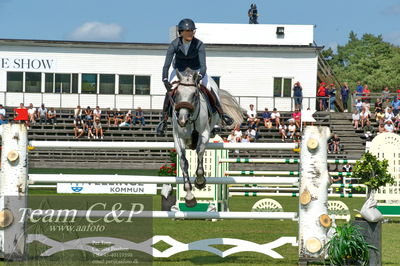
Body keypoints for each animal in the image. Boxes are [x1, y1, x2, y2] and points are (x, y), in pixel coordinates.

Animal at [171, 67, 242, 207]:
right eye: (177, 94)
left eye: (194, 94)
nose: (182, 120)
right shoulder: (178, 138)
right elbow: (183, 162)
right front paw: (189, 195)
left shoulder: (203, 134)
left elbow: (199, 153)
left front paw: (199, 181)